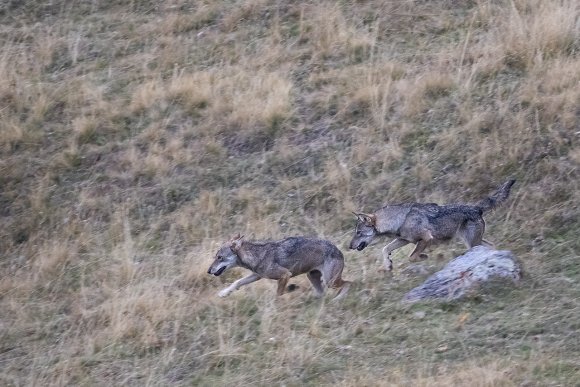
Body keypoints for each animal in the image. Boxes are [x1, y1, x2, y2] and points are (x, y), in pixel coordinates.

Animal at [208, 235, 354, 302]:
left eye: (220, 257)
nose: (208, 271)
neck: (256, 255)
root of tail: (339, 250)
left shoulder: (285, 275)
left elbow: (278, 295)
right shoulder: (256, 275)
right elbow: (237, 282)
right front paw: (224, 293)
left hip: (330, 281)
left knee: (349, 283)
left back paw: (337, 299)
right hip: (313, 277)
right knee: (321, 293)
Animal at [348, 180, 516, 272]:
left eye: (358, 232)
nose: (349, 247)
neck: (400, 219)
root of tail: (476, 208)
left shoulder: (426, 239)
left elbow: (412, 257)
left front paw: (423, 257)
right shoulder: (404, 240)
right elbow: (385, 249)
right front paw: (388, 265)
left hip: (472, 244)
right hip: (473, 241)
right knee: (492, 245)